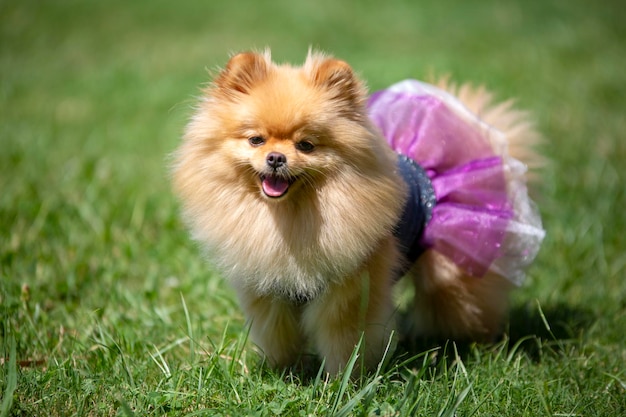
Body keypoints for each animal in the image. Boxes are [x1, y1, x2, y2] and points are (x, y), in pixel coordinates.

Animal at [173, 48, 544, 374]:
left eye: (306, 145)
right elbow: (279, 334)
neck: (292, 216)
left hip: (453, 271)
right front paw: (286, 371)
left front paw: (342, 383)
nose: (276, 158)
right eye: (256, 140)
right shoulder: (269, 290)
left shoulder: (350, 292)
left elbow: (345, 340)